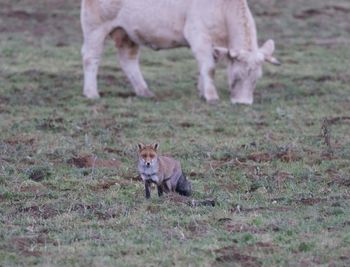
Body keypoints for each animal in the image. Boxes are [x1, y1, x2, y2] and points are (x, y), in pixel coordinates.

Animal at [80, 0, 280, 104]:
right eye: (236, 76)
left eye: (256, 79)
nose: (243, 102)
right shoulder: (198, 35)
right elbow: (209, 68)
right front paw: (211, 96)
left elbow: (206, 67)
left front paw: (202, 90)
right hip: (95, 28)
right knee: (91, 58)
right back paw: (91, 93)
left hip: (127, 33)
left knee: (128, 60)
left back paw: (144, 91)